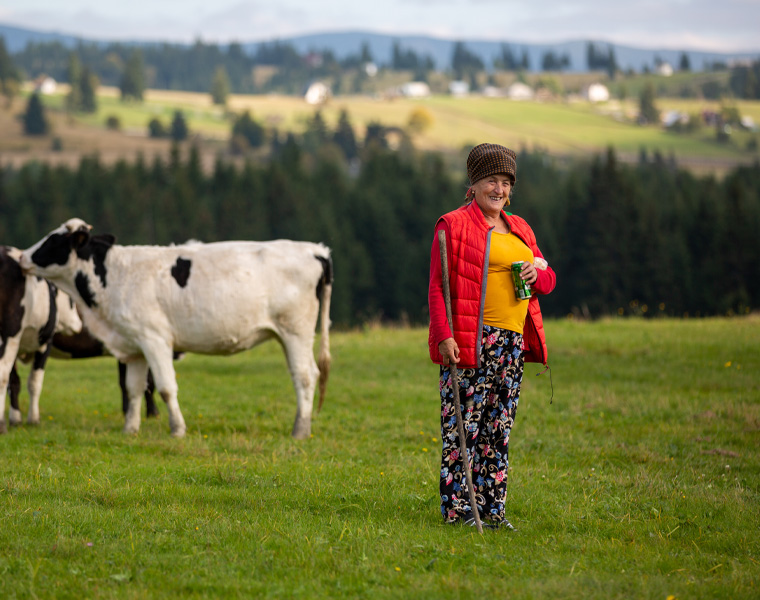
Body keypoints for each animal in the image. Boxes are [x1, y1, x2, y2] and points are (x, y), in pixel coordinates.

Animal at [0, 247, 83, 432]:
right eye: (70, 298)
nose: (79, 324)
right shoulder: (45, 343)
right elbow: (34, 382)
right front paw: (34, 419)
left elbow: (14, 383)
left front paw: (16, 419)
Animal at [17, 218, 332, 438]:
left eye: (53, 240)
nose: (21, 257)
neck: (116, 276)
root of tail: (315, 249)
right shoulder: (134, 346)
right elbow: (134, 389)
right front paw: (130, 429)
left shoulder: (155, 339)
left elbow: (166, 387)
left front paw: (177, 428)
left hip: (296, 332)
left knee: (305, 376)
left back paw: (300, 430)